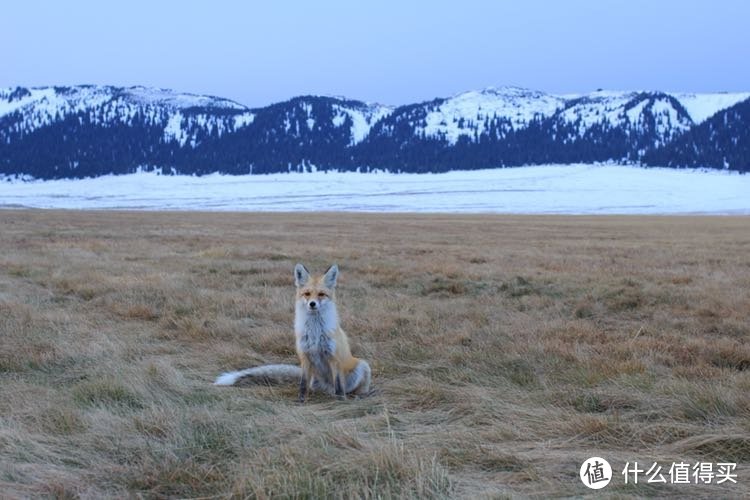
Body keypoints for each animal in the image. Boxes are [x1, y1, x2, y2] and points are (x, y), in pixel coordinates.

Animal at [213, 262, 372, 402]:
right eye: (307, 294)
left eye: (321, 294)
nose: (312, 304)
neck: (315, 331)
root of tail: (327, 388)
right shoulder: (305, 356)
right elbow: (302, 384)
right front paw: (301, 400)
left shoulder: (334, 357)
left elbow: (339, 384)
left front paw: (341, 400)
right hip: (316, 380)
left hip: (363, 366)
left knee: (351, 389)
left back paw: (357, 395)